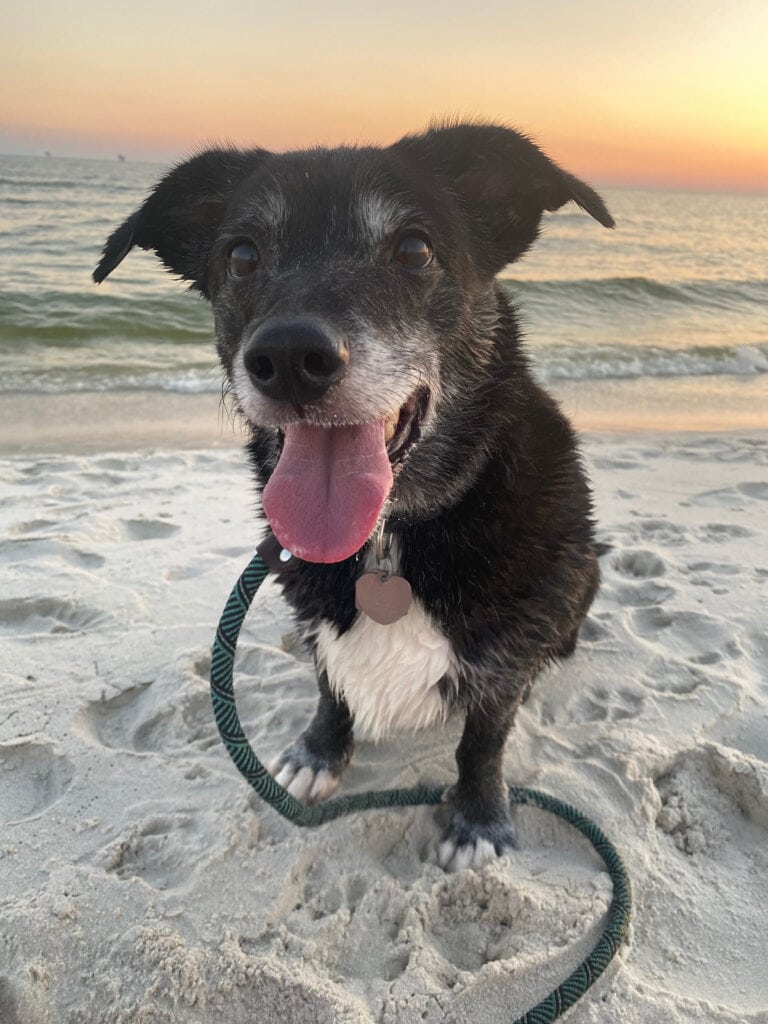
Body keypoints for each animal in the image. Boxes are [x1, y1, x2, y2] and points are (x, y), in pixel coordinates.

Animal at [94, 121, 614, 872]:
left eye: (414, 249)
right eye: (242, 255)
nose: (287, 359)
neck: (388, 539)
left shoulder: (507, 656)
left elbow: (483, 739)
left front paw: (478, 816)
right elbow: (329, 686)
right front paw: (319, 751)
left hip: (584, 569)